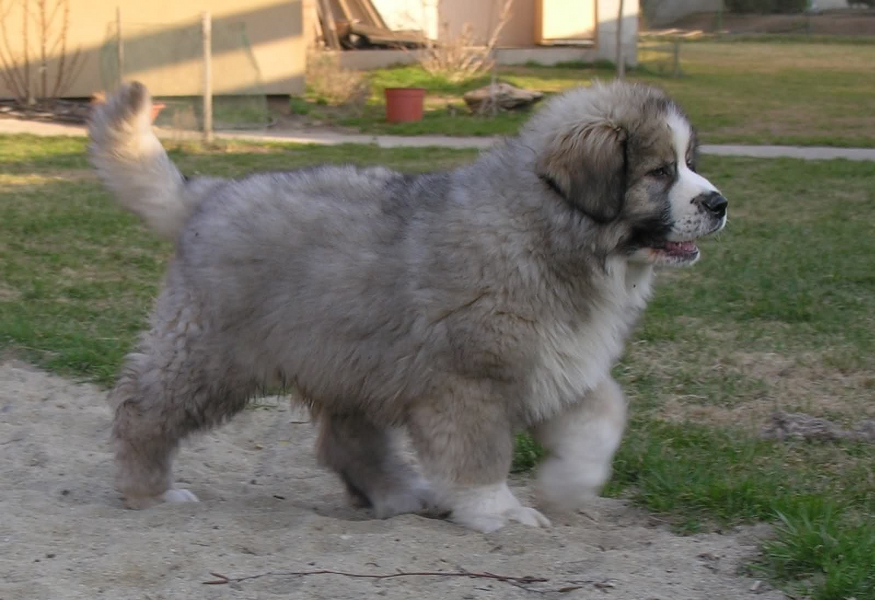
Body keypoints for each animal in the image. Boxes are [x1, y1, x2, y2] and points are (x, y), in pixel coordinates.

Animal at [88, 80, 727, 533]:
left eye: (690, 163)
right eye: (659, 172)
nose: (719, 203)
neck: (549, 235)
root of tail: (207, 194)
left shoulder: (556, 363)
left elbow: (605, 415)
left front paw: (566, 486)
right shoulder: (469, 381)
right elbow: (479, 455)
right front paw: (498, 511)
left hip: (350, 357)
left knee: (346, 440)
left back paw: (399, 495)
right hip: (215, 353)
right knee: (145, 407)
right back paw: (150, 491)